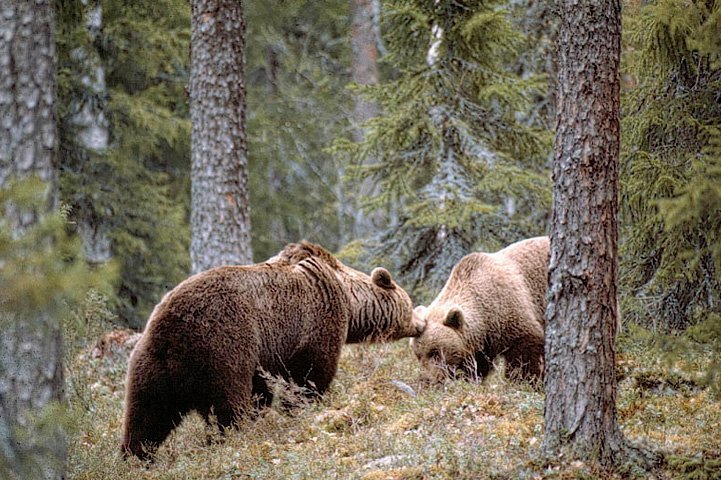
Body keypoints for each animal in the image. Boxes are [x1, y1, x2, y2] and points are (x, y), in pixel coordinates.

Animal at [119, 242, 422, 460]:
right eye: (410, 305)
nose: (420, 325)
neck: (350, 299)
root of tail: (170, 330)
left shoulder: (265, 353)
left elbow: (262, 390)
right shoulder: (315, 319)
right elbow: (310, 373)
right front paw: (302, 406)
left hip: (150, 364)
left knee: (145, 415)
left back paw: (136, 457)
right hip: (221, 347)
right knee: (228, 404)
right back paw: (232, 437)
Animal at [410, 238, 544, 384]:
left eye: (435, 352)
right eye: (418, 355)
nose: (428, 379)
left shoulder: (509, 308)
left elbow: (525, 352)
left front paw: (524, 380)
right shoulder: (481, 341)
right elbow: (476, 365)